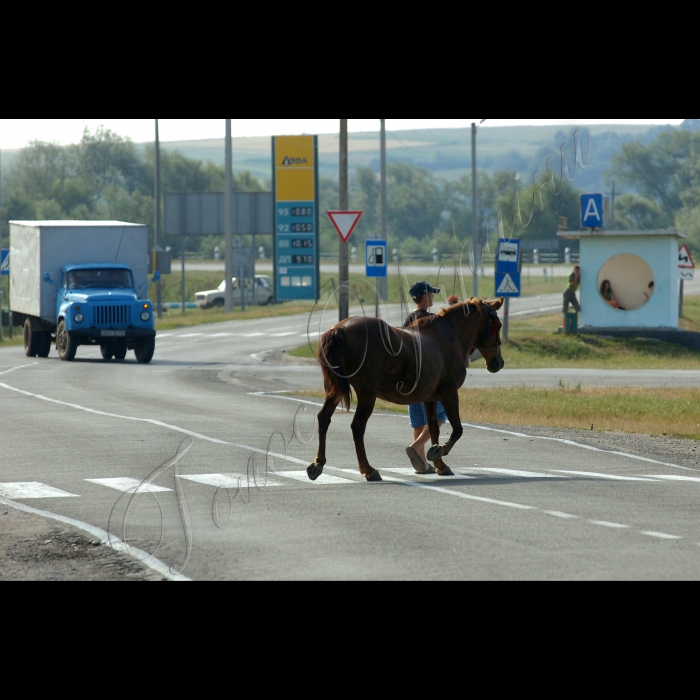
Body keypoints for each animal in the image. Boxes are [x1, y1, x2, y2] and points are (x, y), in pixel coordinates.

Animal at [308, 298, 504, 484]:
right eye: (499, 325)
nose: (498, 362)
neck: (448, 336)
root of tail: (339, 329)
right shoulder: (449, 394)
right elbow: (457, 429)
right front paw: (440, 450)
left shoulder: (430, 398)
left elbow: (433, 428)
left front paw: (439, 464)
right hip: (367, 394)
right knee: (357, 426)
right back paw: (368, 470)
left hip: (334, 391)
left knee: (324, 418)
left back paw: (318, 463)